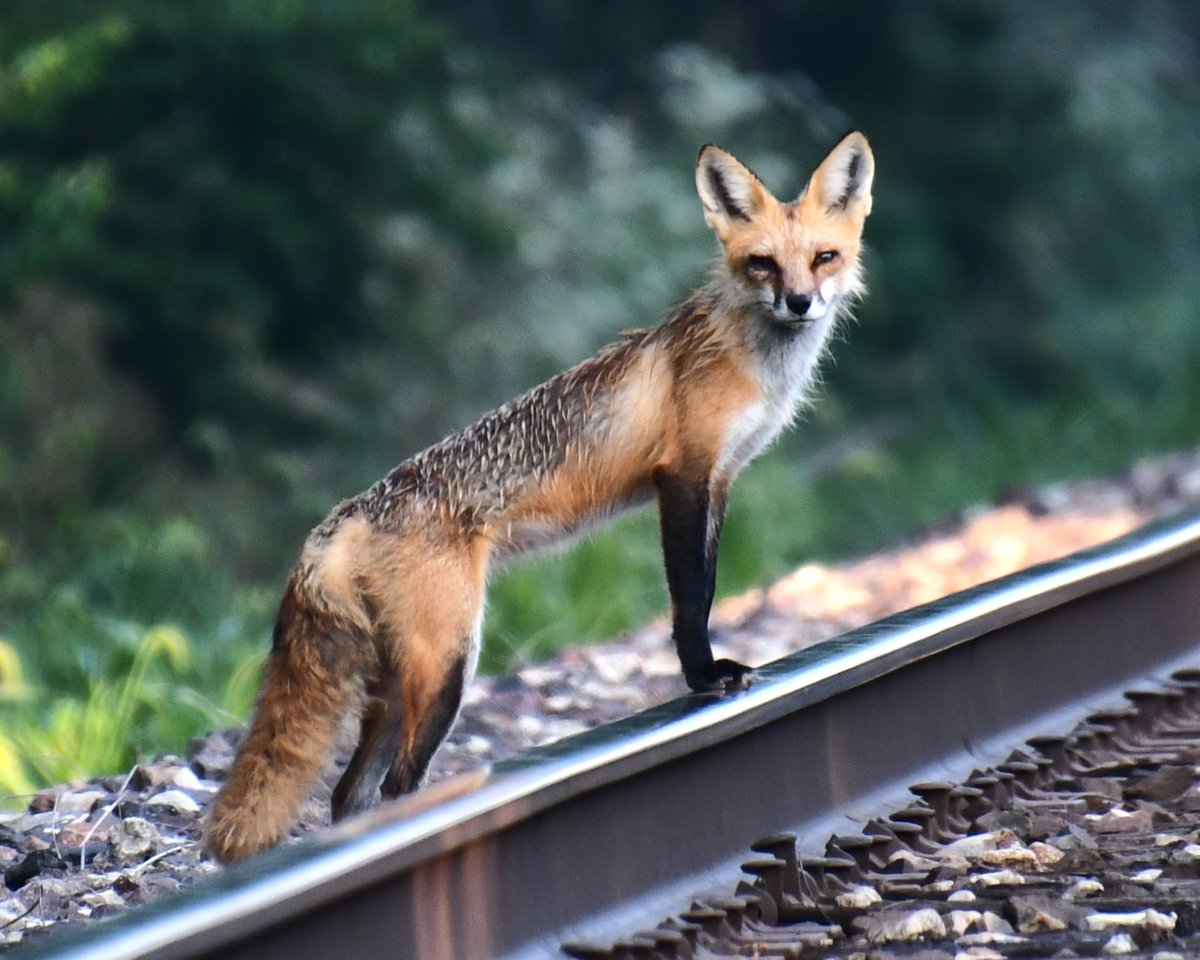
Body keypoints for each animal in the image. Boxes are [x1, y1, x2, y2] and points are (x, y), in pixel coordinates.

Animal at [206, 132, 874, 863]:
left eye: (823, 257)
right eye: (763, 264)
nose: (800, 302)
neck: (748, 358)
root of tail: (345, 514)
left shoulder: (719, 482)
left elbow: (709, 582)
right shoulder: (682, 477)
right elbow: (691, 599)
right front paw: (704, 677)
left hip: (402, 681)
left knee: (348, 795)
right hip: (448, 665)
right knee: (397, 787)